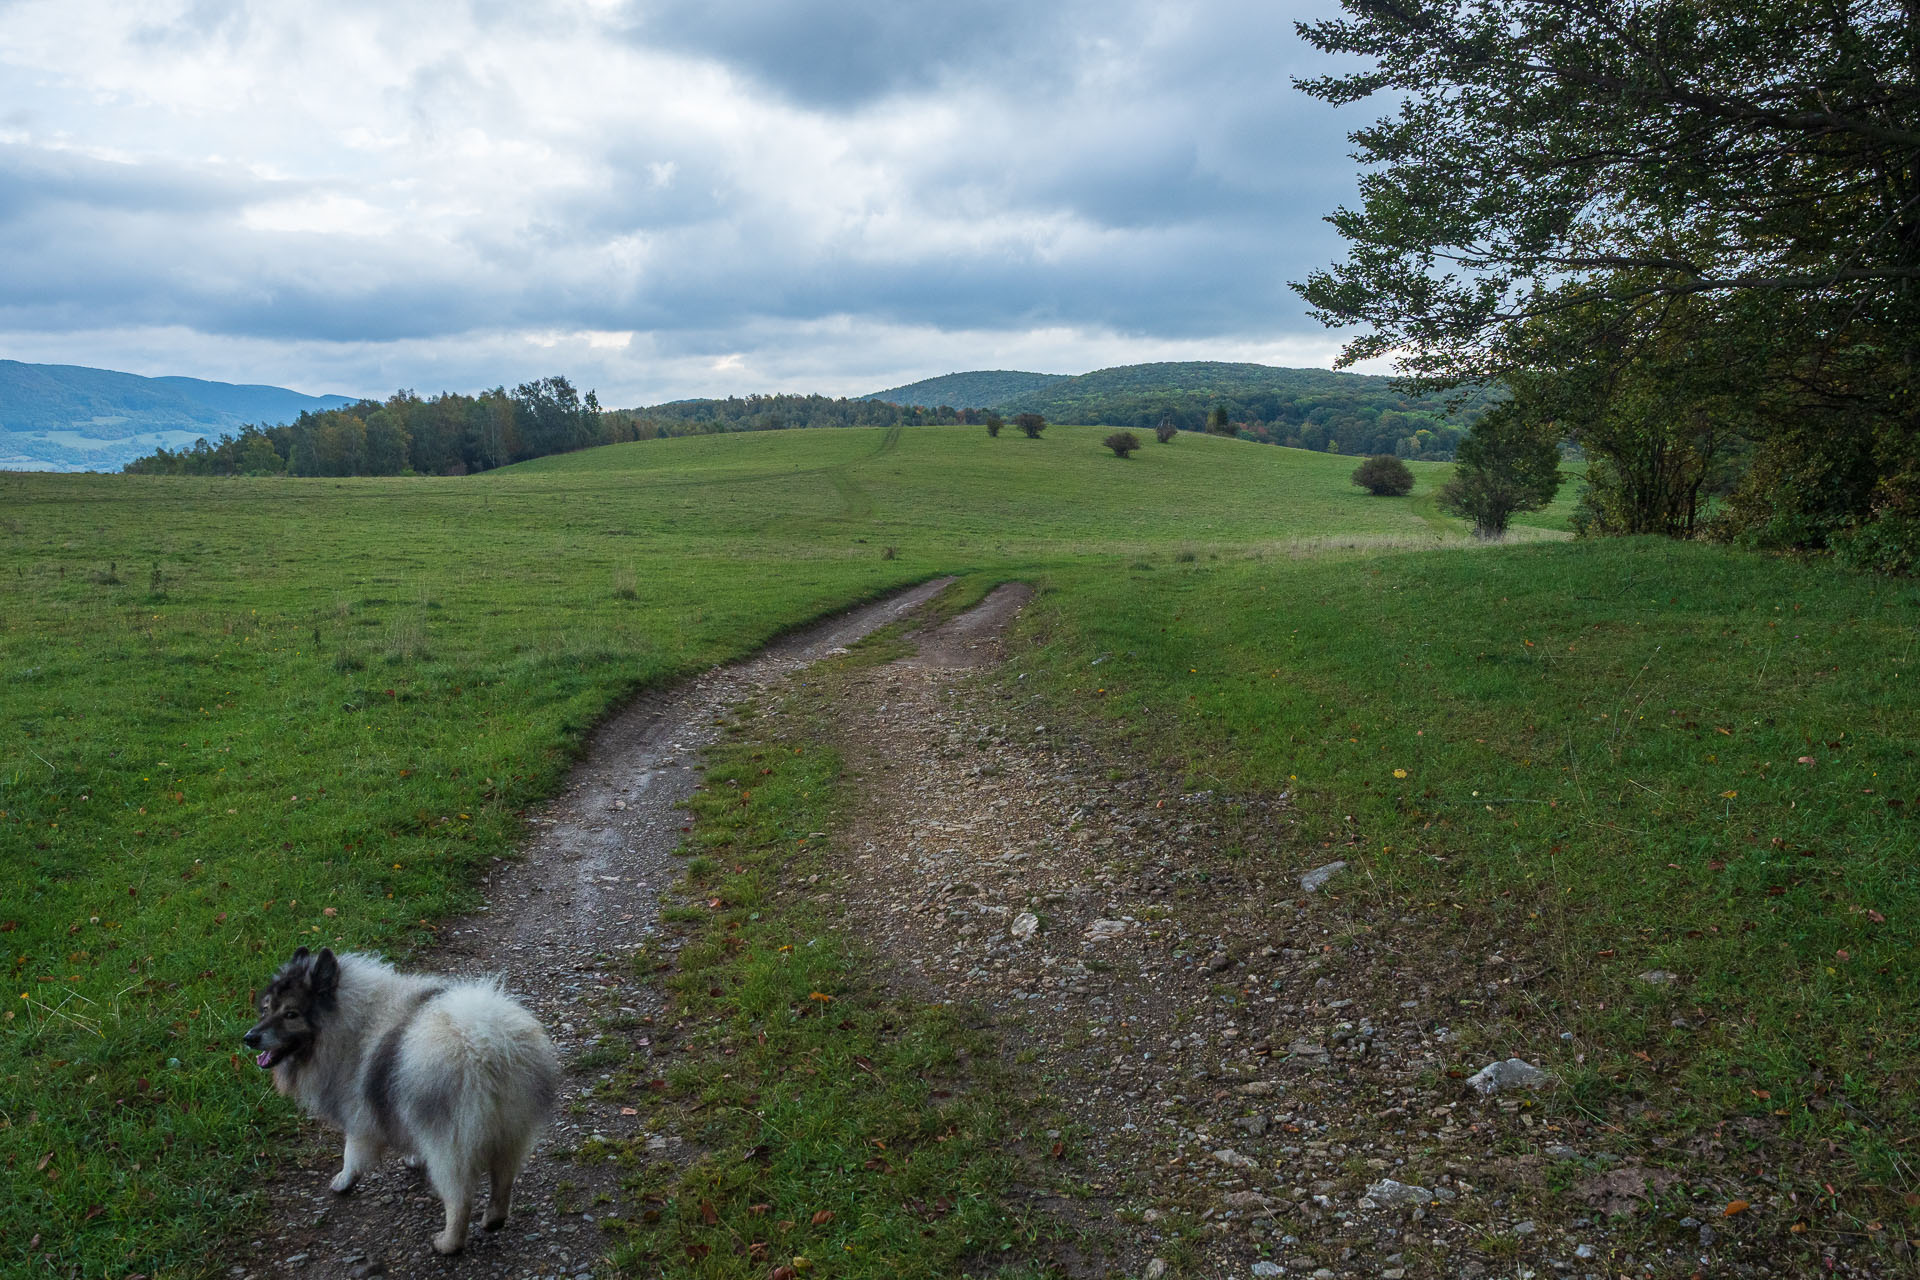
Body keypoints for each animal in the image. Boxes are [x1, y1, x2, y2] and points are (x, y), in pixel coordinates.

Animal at [243, 948, 560, 1258]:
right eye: (266, 1009)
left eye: (291, 1014)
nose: (249, 1037)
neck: (350, 1023)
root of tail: (485, 1045)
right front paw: (413, 1158)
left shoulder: (358, 1118)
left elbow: (351, 1155)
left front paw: (343, 1182)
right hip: (511, 1132)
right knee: (503, 1180)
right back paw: (494, 1219)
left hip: (451, 1146)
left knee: (460, 1200)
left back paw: (448, 1244)